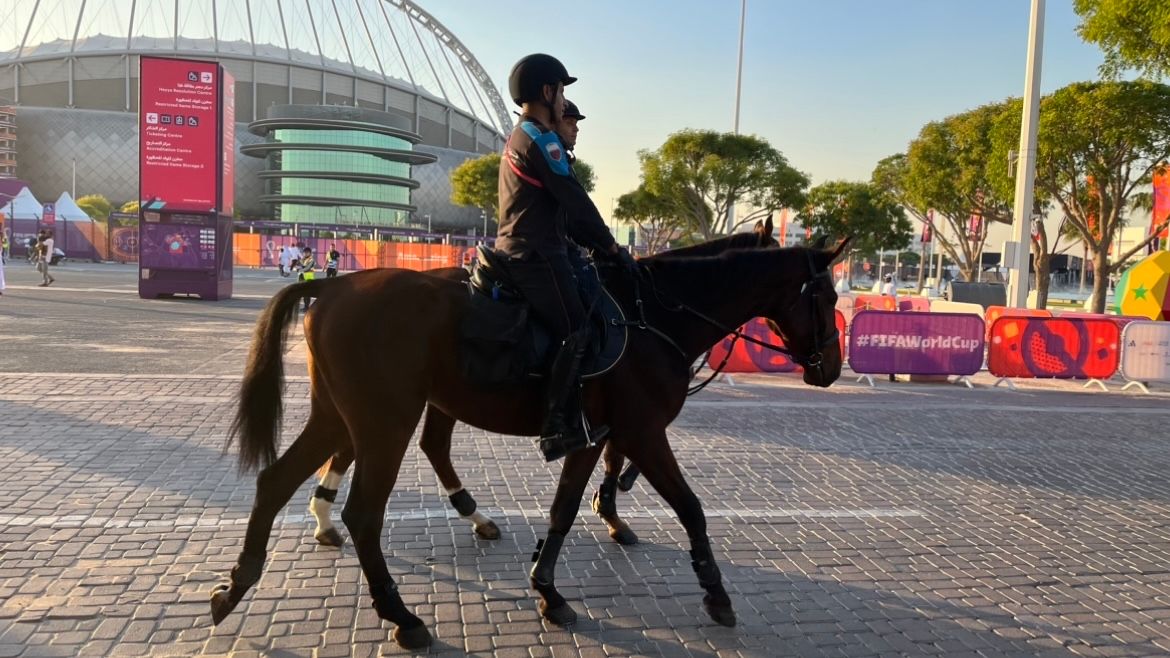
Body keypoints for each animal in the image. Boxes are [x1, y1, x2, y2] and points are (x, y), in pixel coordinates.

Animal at [301, 220, 781, 547]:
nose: (809, 358)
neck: (649, 311)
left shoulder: (621, 412)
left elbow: (613, 454)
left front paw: (611, 507)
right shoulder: (628, 410)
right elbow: (619, 453)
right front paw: (613, 502)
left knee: (413, 444)